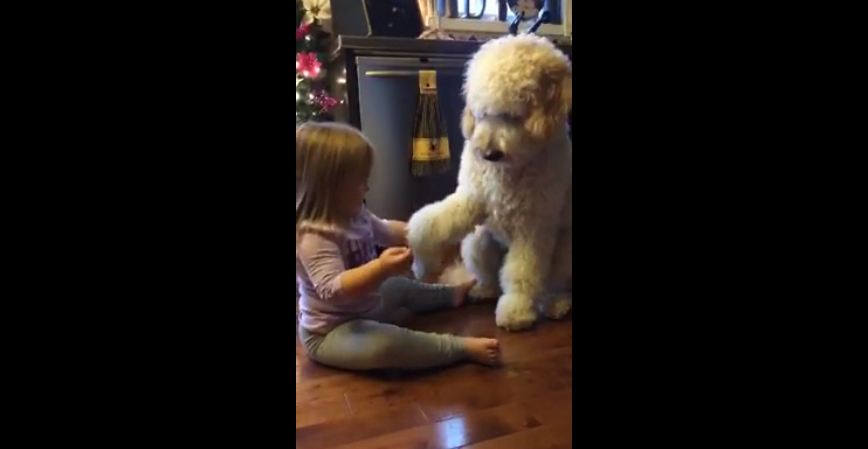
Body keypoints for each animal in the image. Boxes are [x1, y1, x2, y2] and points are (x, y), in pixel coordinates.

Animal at [408, 34, 572, 328]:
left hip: (565, 251)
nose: (489, 154)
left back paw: (556, 304)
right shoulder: (471, 199)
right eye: (482, 113)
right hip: (477, 240)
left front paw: (516, 310)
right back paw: (484, 289)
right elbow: (424, 224)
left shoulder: (533, 228)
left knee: (551, 284)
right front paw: (423, 265)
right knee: (489, 275)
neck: (507, 171)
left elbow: (522, 272)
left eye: (515, 115)